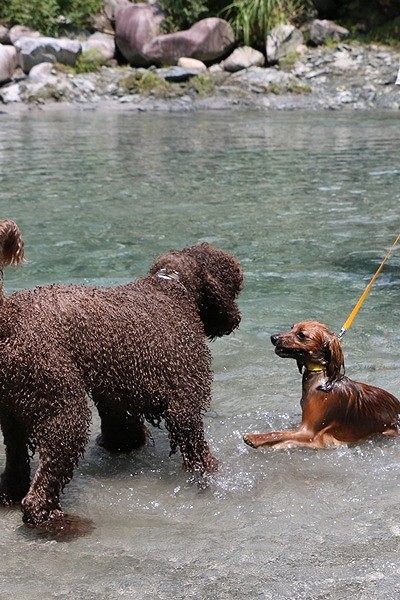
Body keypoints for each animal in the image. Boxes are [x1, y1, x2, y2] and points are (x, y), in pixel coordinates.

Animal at [244, 322, 400, 448]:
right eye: (291, 327)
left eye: (301, 335)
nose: (273, 337)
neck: (320, 379)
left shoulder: (309, 431)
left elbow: (278, 434)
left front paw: (254, 438)